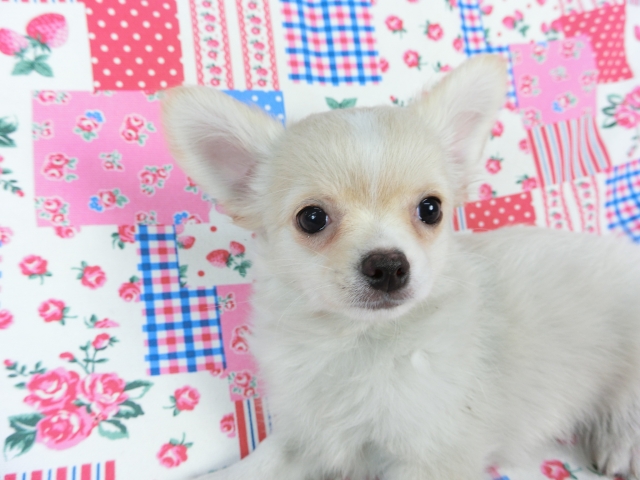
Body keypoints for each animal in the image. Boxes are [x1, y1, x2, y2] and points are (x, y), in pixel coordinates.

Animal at [162, 55, 640, 480]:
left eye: (431, 209)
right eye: (311, 218)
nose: (388, 265)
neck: (358, 341)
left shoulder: (432, 452)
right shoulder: (307, 434)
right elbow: (254, 465)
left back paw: (621, 445)